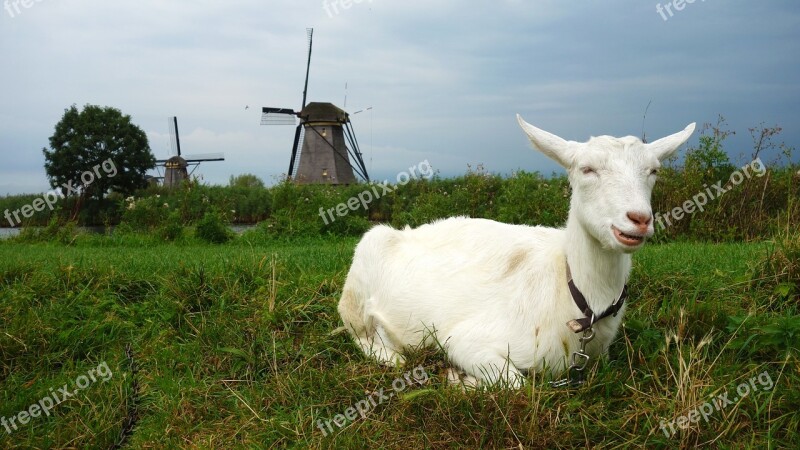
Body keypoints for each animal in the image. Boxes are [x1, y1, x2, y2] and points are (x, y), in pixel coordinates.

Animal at [338, 116, 692, 386]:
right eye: (587, 169)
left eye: (654, 171)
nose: (639, 219)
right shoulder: (466, 339)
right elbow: (517, 384)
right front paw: (460, 380)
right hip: (358, 282)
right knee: (358, 332)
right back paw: (392, 354)